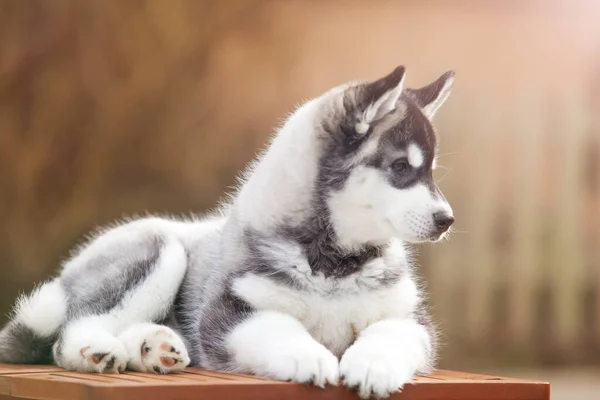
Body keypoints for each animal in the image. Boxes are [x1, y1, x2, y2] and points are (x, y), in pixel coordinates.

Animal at [0, 65, 454, 396]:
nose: (447, 219)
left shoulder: (410, 319)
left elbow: (389, 334)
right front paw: (309, 356)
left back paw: (153, 349)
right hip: (161, 250)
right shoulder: (228, 315)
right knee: (73, 329)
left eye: (430, 171)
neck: (334, 264)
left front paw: (373, 365)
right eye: (400, 167)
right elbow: (278, 328)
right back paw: (97, 350)